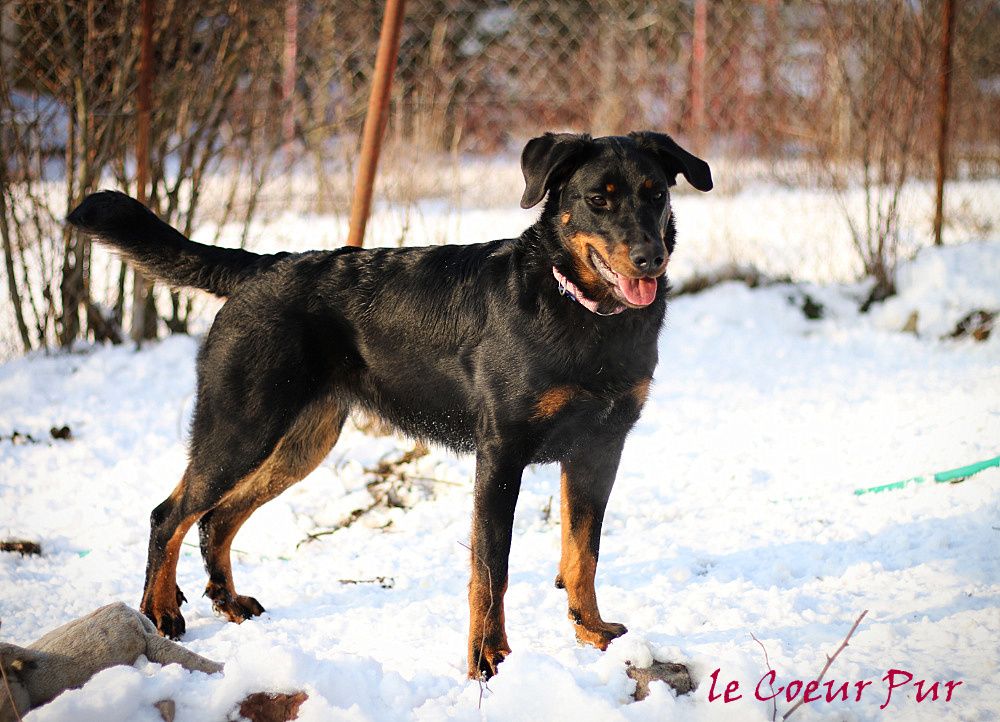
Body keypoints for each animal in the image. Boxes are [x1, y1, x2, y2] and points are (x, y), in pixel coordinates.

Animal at [67, 131, 712, 679]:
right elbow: (491, 569)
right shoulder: (500, 456)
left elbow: (583, 554)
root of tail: (261, 267)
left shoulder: (600, 449)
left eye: (656, 194)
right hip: (240, 426)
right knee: (169, 513)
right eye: (598, 200)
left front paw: (592, 632)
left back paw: (228, 603)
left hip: (301, 442)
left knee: (216, 519)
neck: (580, 311)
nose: (650, 257)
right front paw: (488, 659)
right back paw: (160, 614)